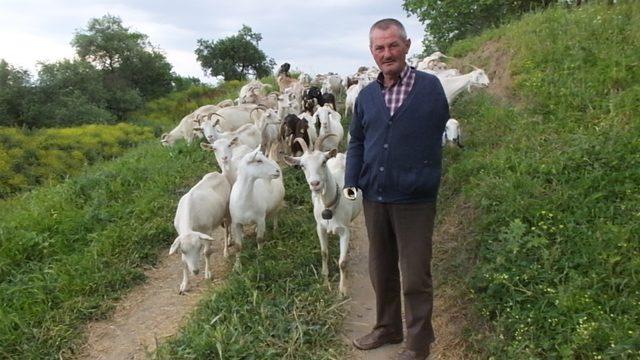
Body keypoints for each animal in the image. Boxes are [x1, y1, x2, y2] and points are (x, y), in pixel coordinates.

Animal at [284, 135, 360, 296]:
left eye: (323, 162)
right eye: (302, 165)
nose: (315, 184)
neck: (329, 205)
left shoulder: (345, 231)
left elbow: (342, 262)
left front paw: (342, 290)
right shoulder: (320, 227)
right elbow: (324, 252)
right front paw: (325, 279)